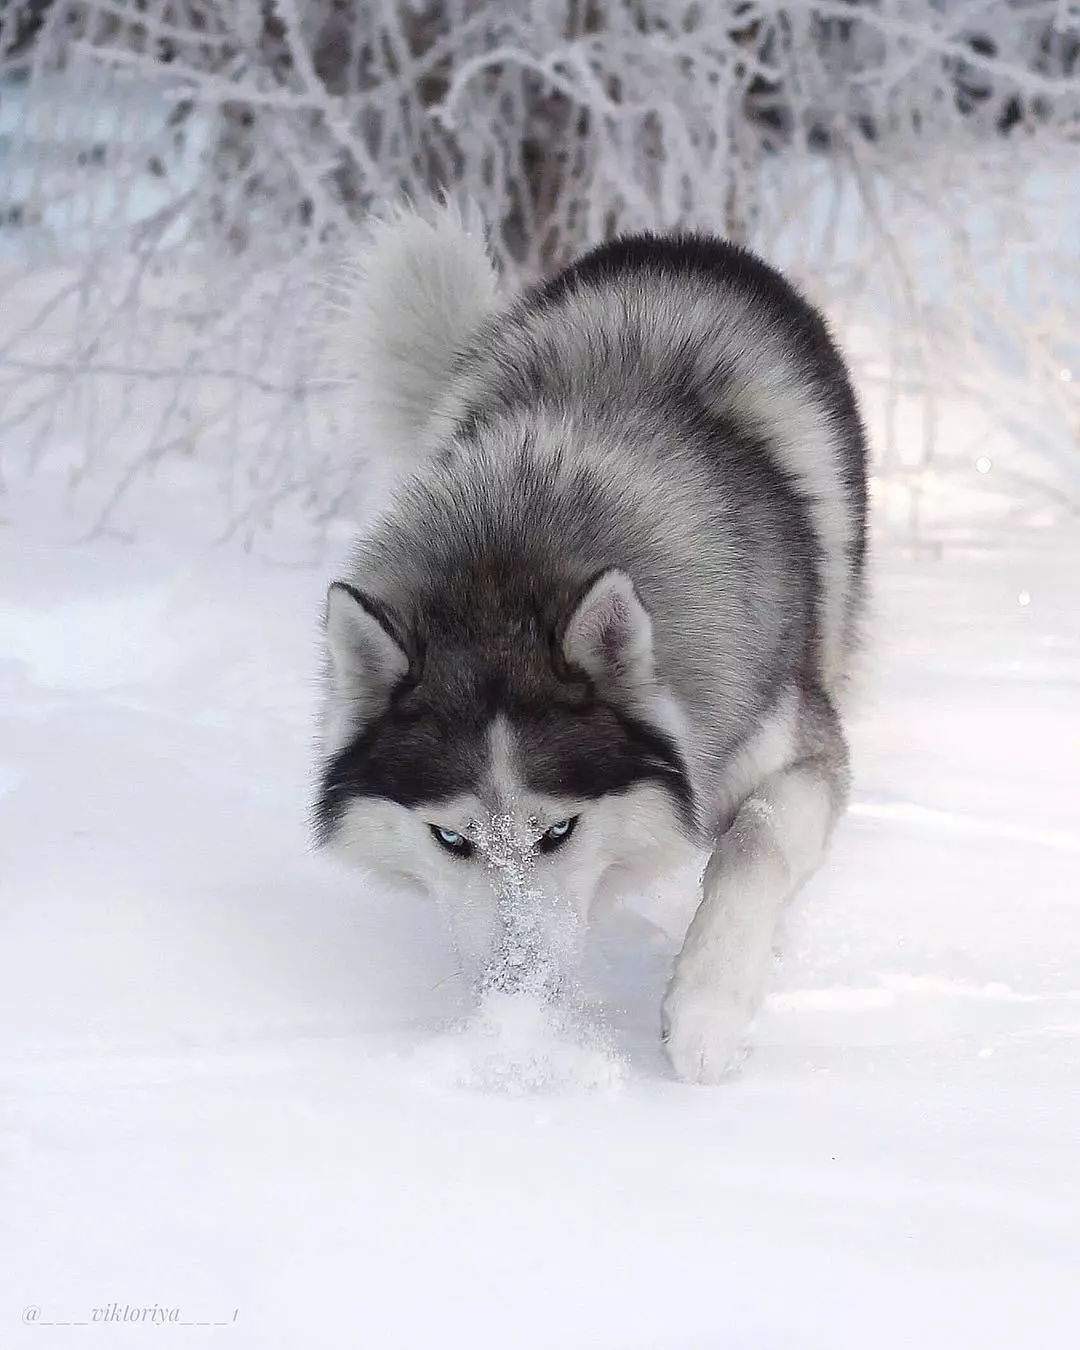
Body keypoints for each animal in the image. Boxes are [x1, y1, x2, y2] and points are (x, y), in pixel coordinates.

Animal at [314, 202, 869, 1085]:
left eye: (559, 832)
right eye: (450, 838)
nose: (519, 999)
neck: (511, 562)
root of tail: (676, 242)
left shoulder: (795, 744)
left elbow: (755, 844)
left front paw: (708, 1010)